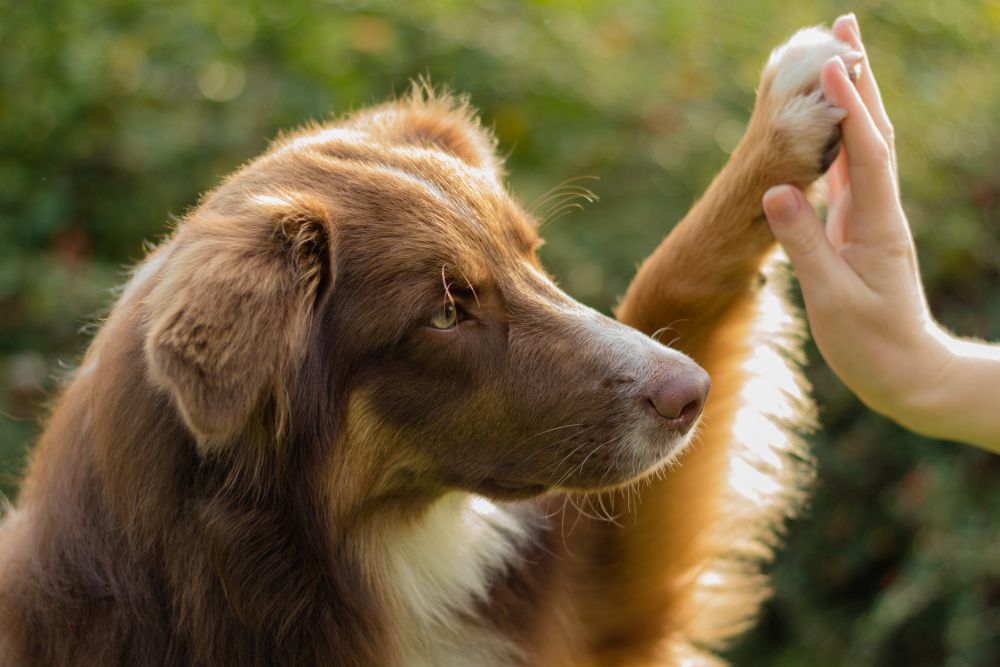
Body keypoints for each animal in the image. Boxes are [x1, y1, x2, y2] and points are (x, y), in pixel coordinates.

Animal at [0, 27, 860, 667]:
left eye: (533, 255)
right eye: (445, 314)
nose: (692, 392)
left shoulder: (586, 609)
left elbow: (668, 277)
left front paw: (787, 117)